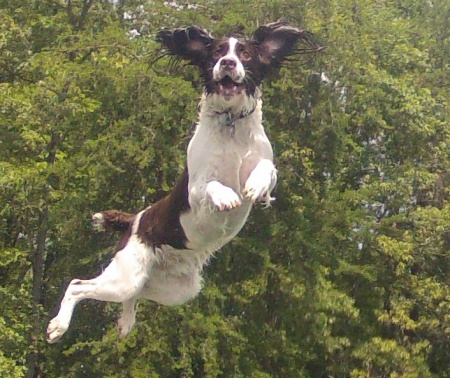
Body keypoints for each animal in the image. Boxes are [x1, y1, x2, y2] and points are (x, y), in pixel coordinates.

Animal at [46, 19, 320, 342]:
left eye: (245, 53)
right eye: (216, 52)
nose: (228, 63)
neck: (231, 124)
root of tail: (134, 219)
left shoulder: (264, 167)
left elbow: (266, 168)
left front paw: (254, 185)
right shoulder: (195, 190)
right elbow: (211, 186)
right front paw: (227, 196)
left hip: (173, 289)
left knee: (134, 294)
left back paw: (125, 322)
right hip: (125, 274)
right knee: (78, 285)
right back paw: (58, 326)